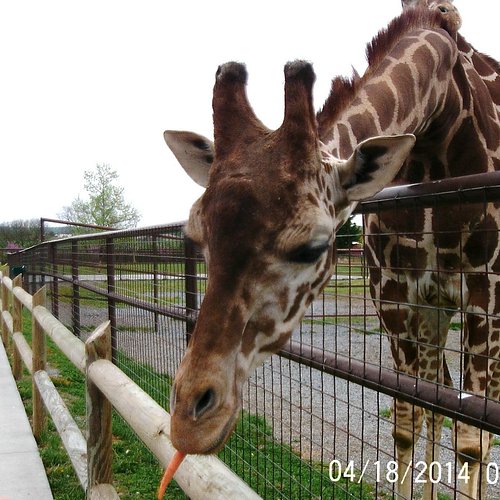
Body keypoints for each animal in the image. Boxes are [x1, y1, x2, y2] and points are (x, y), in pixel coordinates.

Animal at [164, 4, 500, 500]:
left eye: (314, 247)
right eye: (197, 235)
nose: (189, 422)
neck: (442, 120)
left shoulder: (485, 295)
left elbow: (473, 440)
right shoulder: (397, 299)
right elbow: (409, 419)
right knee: (437, 397)